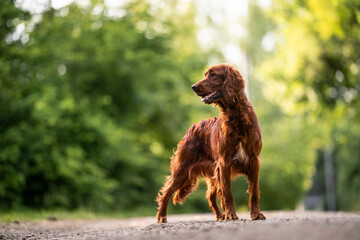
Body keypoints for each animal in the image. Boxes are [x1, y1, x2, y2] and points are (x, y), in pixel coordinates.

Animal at [156, 63, 266, 223]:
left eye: (213, 74)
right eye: (206, 74)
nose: (193, 86)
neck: (236, 117)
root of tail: (191, 128)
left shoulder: (253, 160)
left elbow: (254, 191)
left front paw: (256, 214)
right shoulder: (224, 162)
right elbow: (227, 192)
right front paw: (231, 215)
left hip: (209, 173)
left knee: (210, 195)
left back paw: (220, 215)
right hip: (183, 169)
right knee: (166, 191)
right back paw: (161, 217)